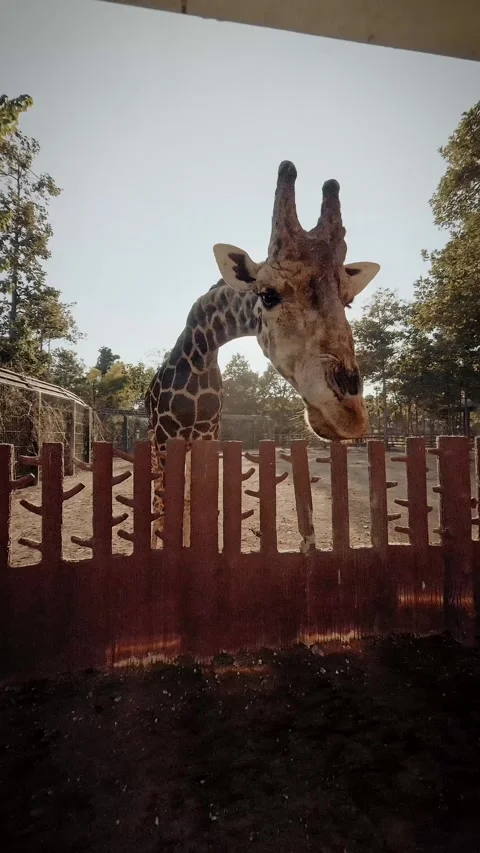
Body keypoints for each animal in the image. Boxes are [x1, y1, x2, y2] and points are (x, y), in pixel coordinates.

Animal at [145, 160, 380, 547]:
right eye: (268, 295)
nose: (349, 414)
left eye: (348, 302)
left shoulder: (208, 435)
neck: (199, 356)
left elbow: (197, 501)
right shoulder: (166, 437)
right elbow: (166, 508)